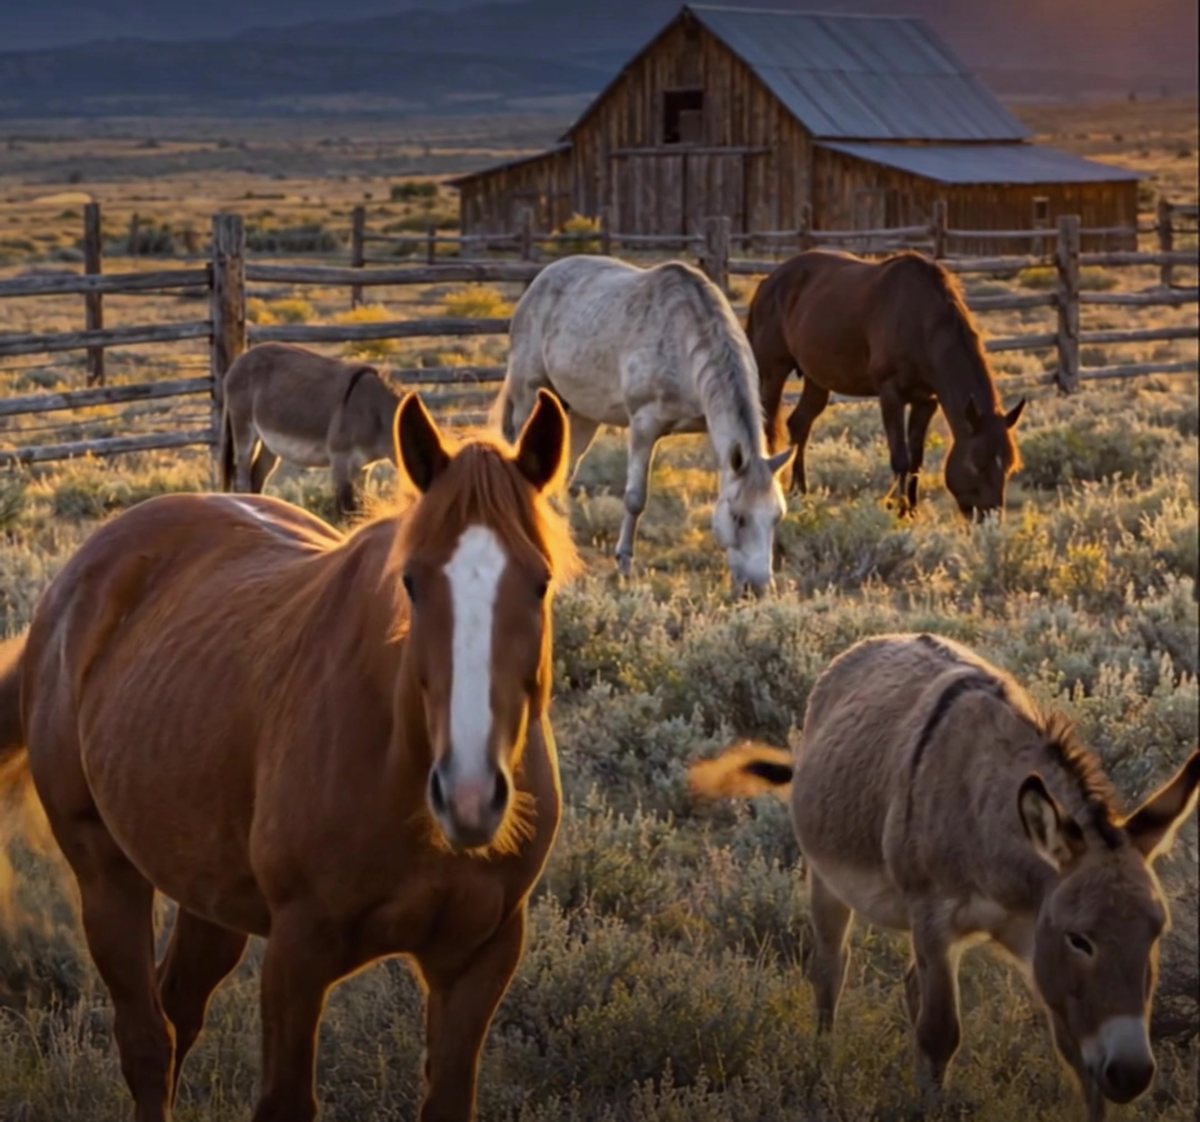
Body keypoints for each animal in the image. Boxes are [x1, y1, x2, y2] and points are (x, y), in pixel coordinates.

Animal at [0, 389, 578, 1122]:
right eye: (412, 583)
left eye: (540, 583)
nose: (469, 795)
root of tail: (82, 571)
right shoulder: (298, 955)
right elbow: (283, 1099)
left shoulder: (482, 956)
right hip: (106, 872)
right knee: (146, 1041)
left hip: (207, 891)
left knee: (176, 1011)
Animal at [219, 342, 401, 516]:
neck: (376, 413)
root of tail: (241, 358)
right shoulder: (340, 459)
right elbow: (346, 509)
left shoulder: (364, 467)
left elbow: (361, 507)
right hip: (243, 427)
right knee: (242, 478)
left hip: (268, 442)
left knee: (257, 476)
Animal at [495, 255, 793, 595]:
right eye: (739, 517)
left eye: (776, 516)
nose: (758, 588)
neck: (683, 339)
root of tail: (537, 284)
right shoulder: (643, 425)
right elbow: (635, 497)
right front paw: (624, 563)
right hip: (528, 395)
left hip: (582, 414)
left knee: (564, 473)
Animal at [690, 633, 1198, 1122]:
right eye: (1081, 939)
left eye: (1157, 933)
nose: (1131, 1074)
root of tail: (874, 641)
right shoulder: (935, 918)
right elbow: (940, 1035)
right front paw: (929, 1109)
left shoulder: (1035, 936)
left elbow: (1075, 1054)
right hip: (825, 881)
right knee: (830, 970)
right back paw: (822, 1061)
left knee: (909, 984)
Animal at [746, 250, 1026, 518]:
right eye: (976, 464)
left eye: (1009, 466)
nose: (988, 518)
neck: (921, 322)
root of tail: (769, 282)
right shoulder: (891, 394)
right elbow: (900, 458)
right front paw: (899, 509)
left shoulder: (926, 401)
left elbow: (916, 459)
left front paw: (911, 509)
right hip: (773, 370)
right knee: (769, 428)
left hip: (816, 378)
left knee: (799, 424)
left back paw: (799, 491)